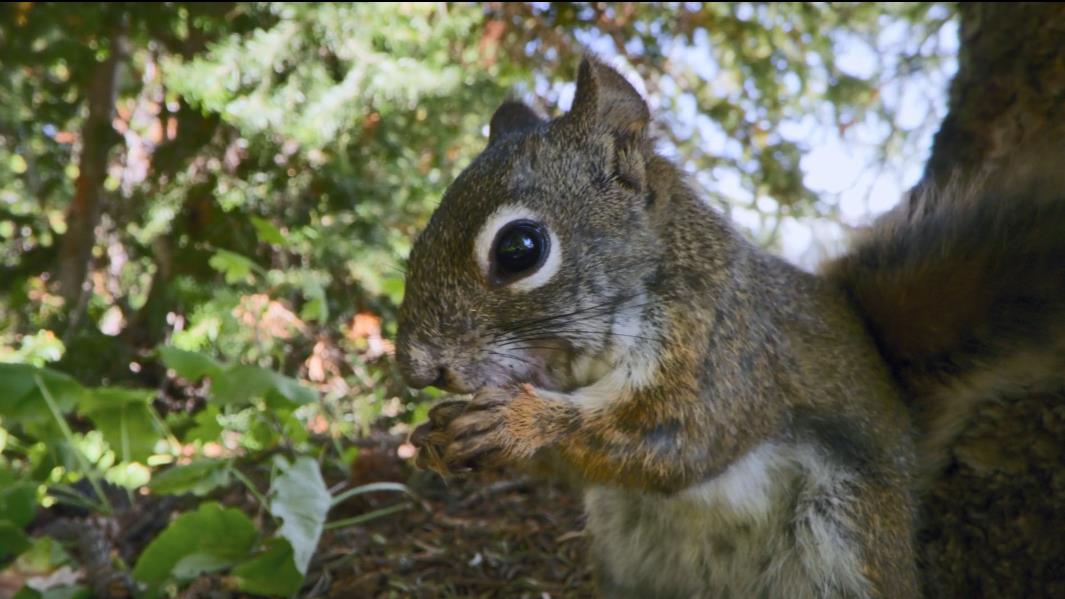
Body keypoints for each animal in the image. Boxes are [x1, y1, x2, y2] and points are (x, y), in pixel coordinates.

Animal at [394, 57, 1065, 596]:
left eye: (519, 249)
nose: (416, 367)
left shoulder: (726, 351)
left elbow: (680, 438)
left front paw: (519, 422)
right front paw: (433, 438)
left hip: (845, 538)